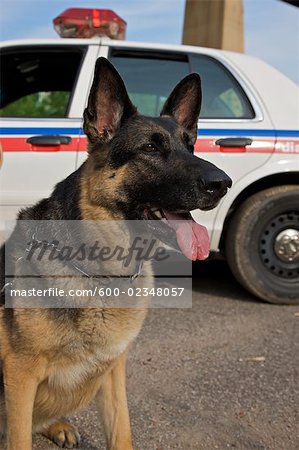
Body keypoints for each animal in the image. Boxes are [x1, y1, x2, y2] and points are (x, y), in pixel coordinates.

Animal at [0, 58, 232, 448]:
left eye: (191, 147)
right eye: (150, 148)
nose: (223, 184)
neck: (102, 273)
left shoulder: (112, 374)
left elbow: (122, 433)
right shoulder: (20, 376)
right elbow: (18, 437)